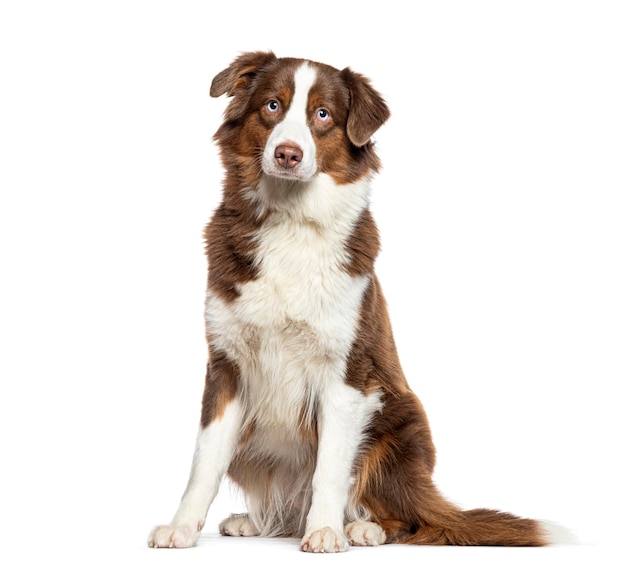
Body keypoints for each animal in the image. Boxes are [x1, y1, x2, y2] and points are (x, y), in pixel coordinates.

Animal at [149, 51, 548, 552]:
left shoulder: (347, 372)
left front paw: (325, 529)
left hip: (397, 422)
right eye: (273, 106)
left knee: (405, 516)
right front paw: (182, 526)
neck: (291, 221)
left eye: (323, 115)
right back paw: (255, 521)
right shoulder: (226, 364)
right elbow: (205, 461)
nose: (288, 154)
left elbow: (330, 468)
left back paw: (362, 527)